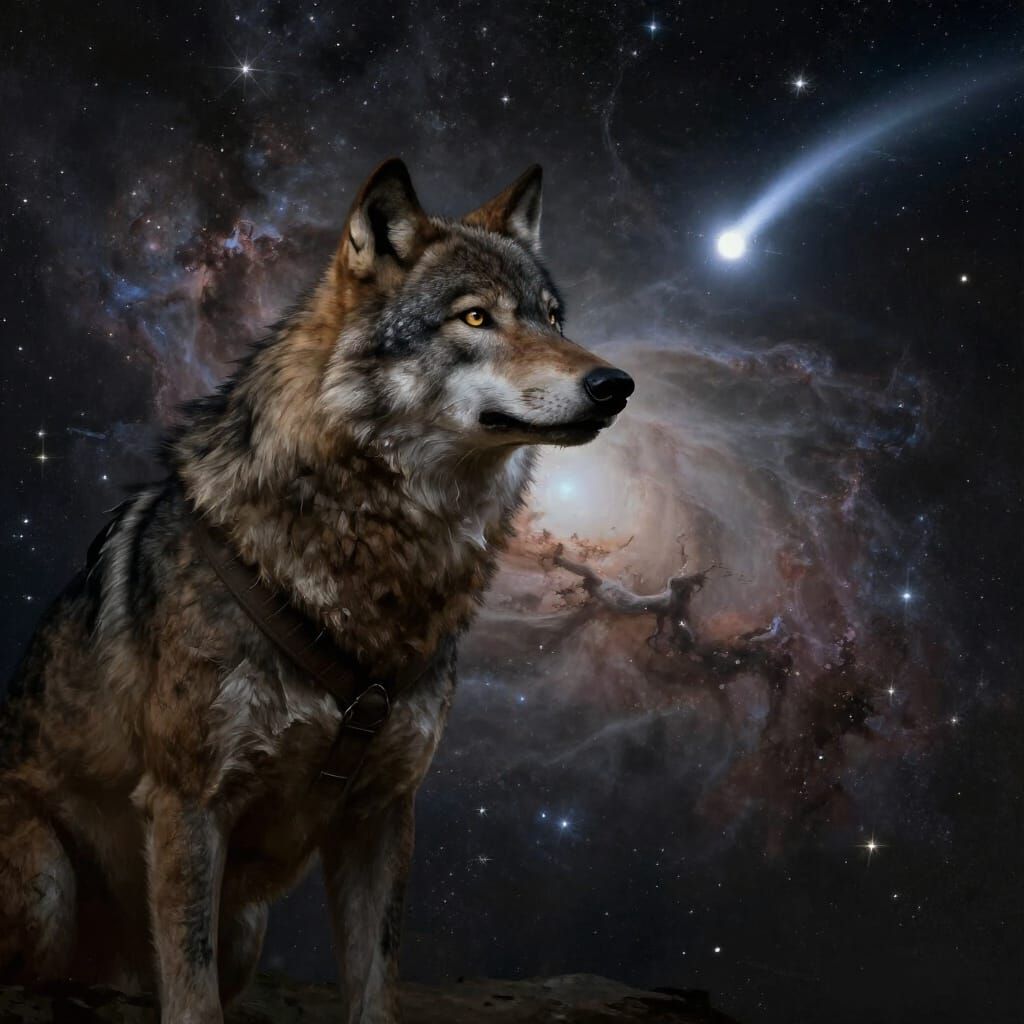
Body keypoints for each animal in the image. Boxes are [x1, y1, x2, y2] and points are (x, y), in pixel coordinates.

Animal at [0, 159, 634, 1023]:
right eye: (475, 317)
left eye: (553, 317)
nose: (616, 385)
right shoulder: (188, 800)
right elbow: (191, 995)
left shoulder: (382, 814)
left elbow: (374, 985)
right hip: (46, 882)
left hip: (247, 928)